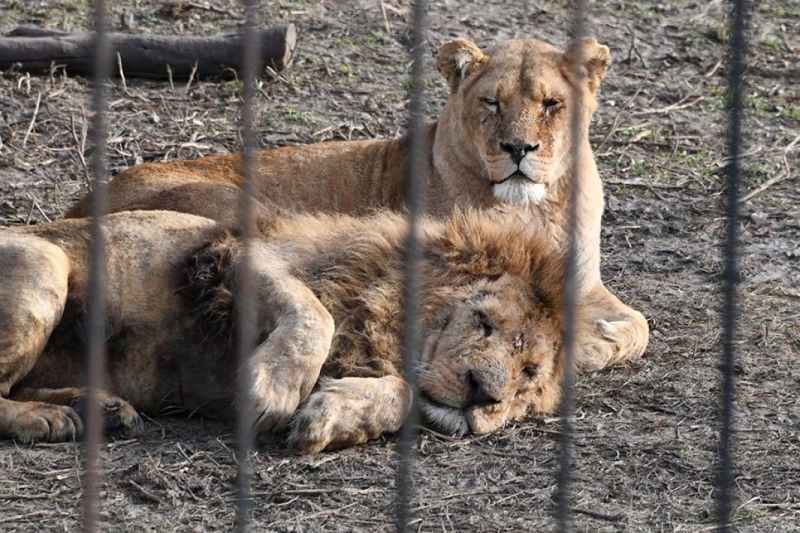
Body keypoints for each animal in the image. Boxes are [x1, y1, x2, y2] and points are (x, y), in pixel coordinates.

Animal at [0, 210, 564, 450]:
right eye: (482, 321)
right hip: (46, 264)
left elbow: (402, 388)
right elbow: (315, 314)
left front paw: (330, 417)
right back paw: (49, 419)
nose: (483, 393)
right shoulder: (237, 256)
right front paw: (271, 390)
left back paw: (99, 410)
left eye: (528, 373)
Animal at [65, 37, 648, 370]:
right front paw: (583, 344)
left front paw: (602, 337)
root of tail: (79, 202)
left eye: (551, 104)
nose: (518, 148)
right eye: (491, 102)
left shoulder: (584, 282)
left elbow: (640, 324)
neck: (534, 207)